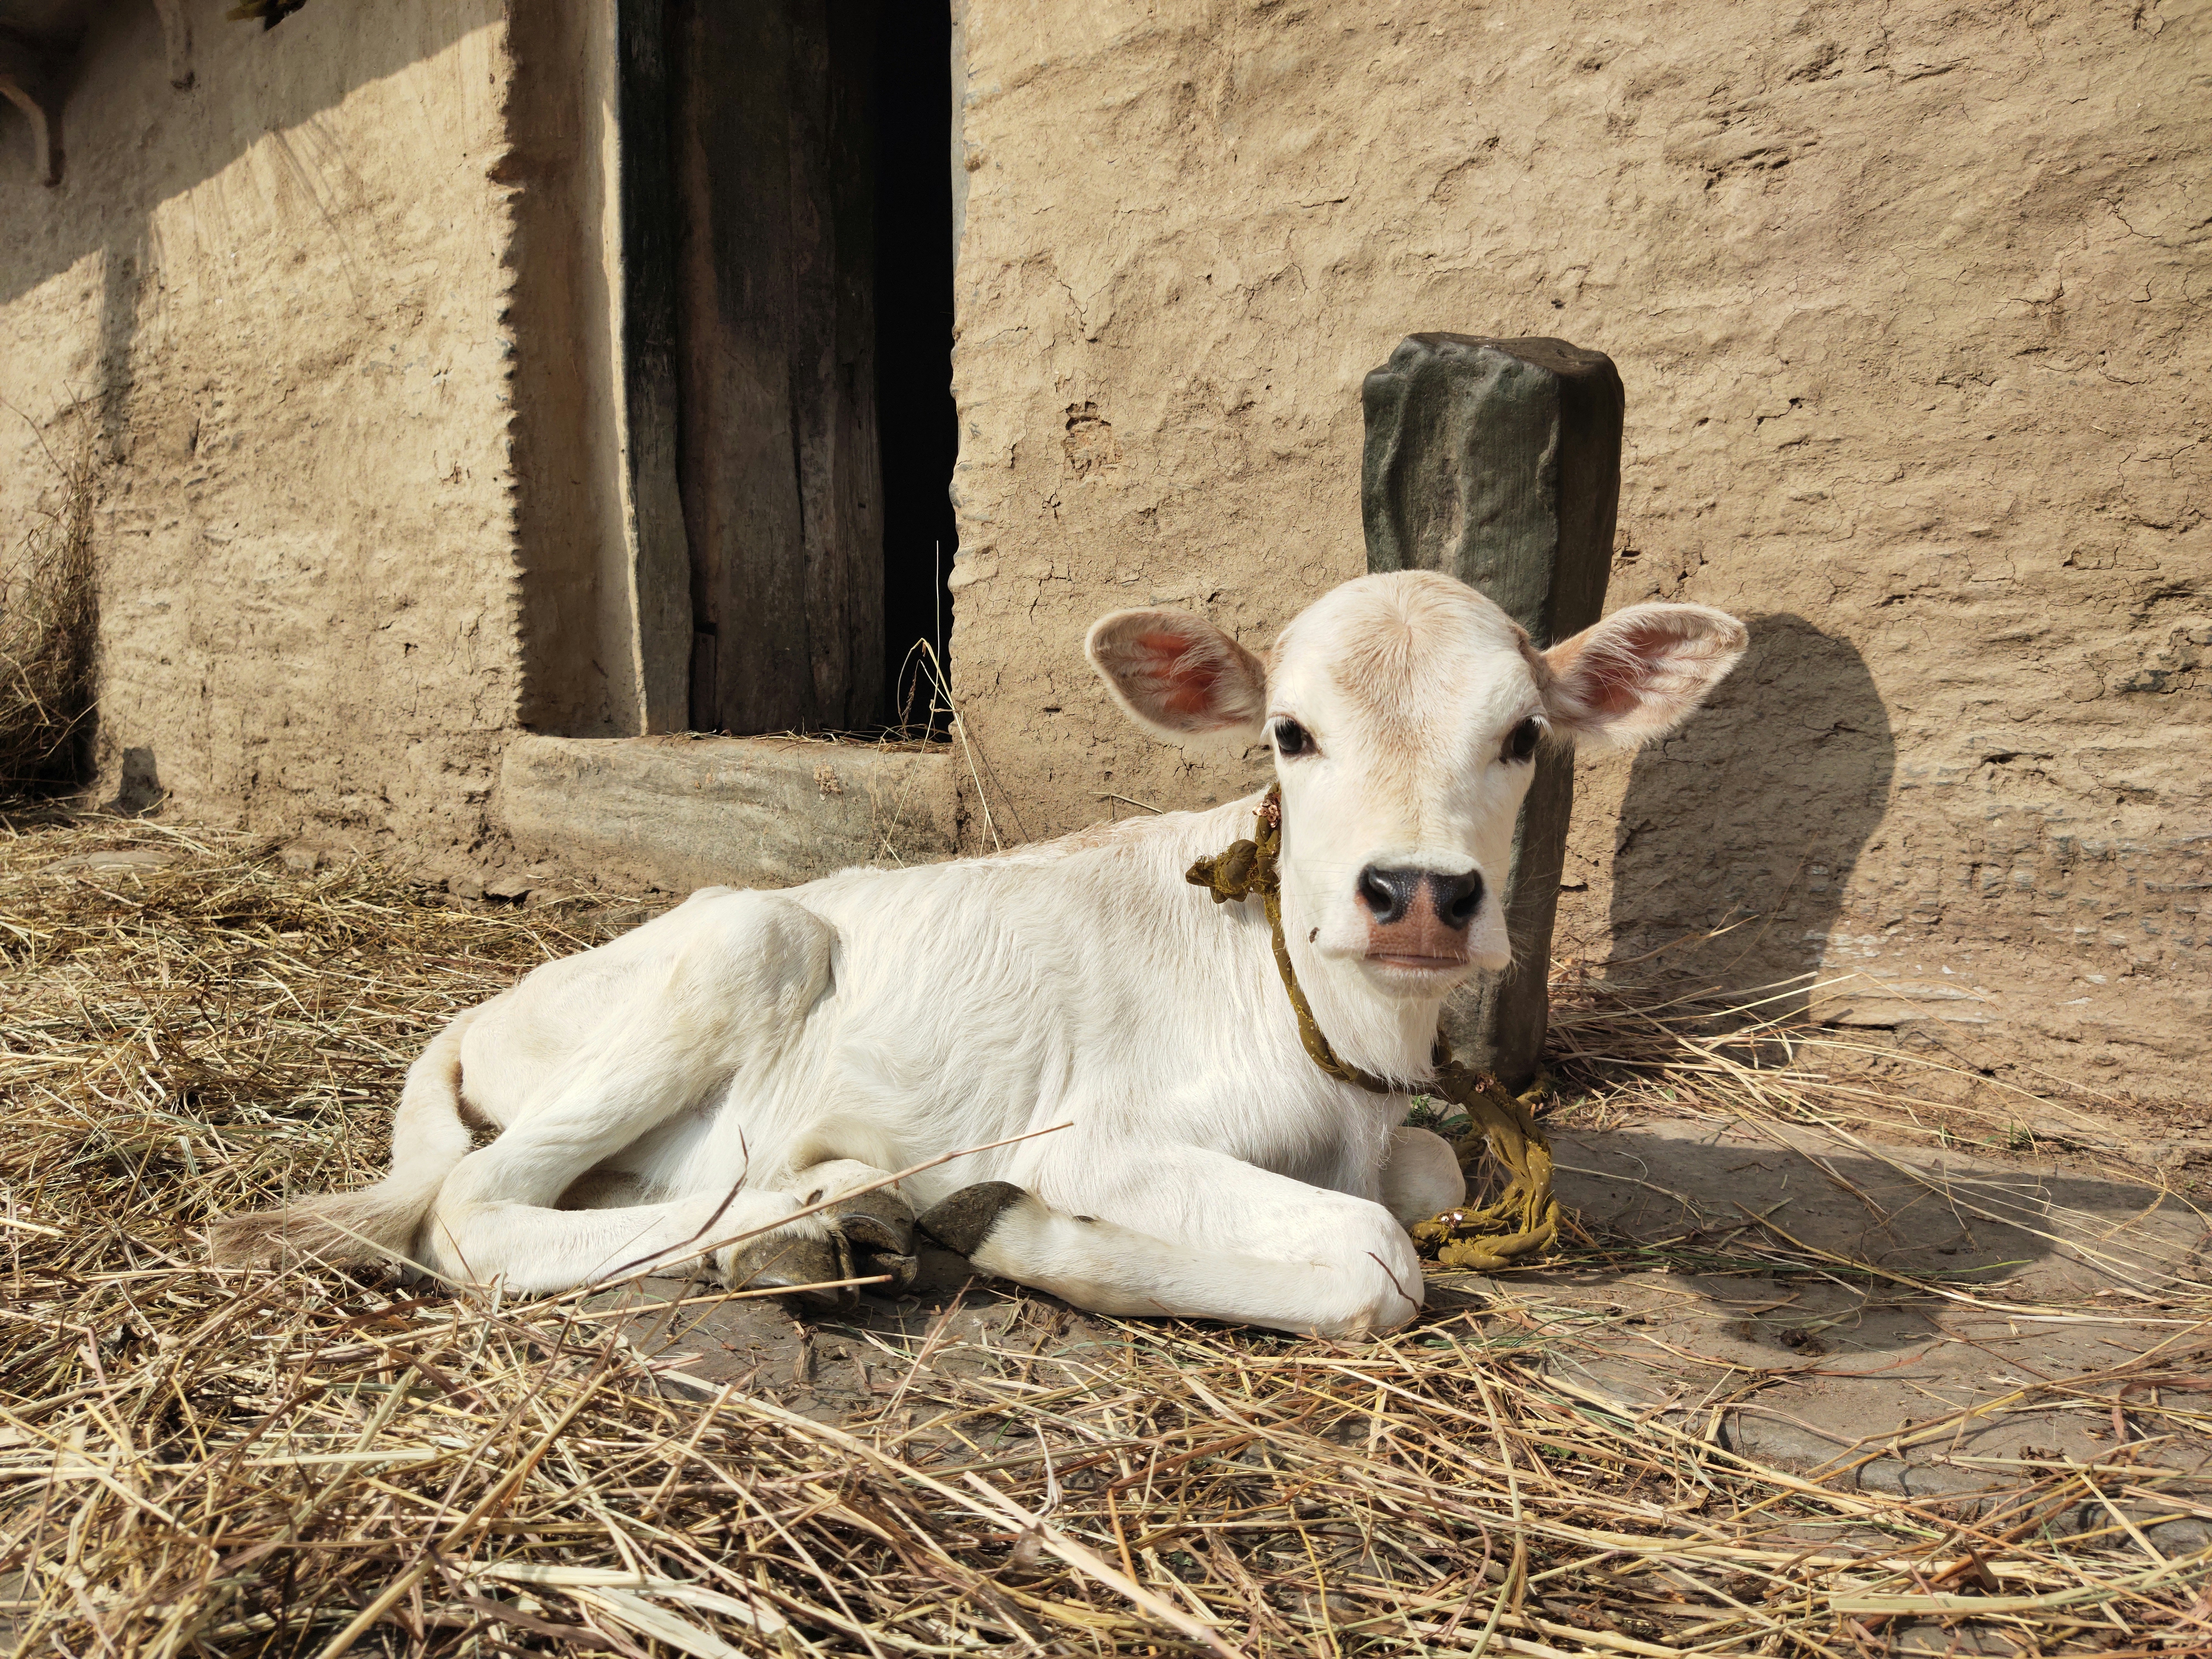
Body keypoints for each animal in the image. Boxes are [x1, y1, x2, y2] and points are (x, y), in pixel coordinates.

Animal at [212, 570, 1745, 1337]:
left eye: (1525, 734)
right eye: (1289, 733)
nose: (1416, 896)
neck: (1338, 1041)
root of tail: (476, 1017)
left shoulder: (1392, 1134)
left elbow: (1428, 1171)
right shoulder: (1095, 1136)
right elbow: (1378, 1257)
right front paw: (1022, 1234)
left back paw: (811, 1224)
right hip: (752, 939)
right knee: (474, 1212)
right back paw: (828, 1220)